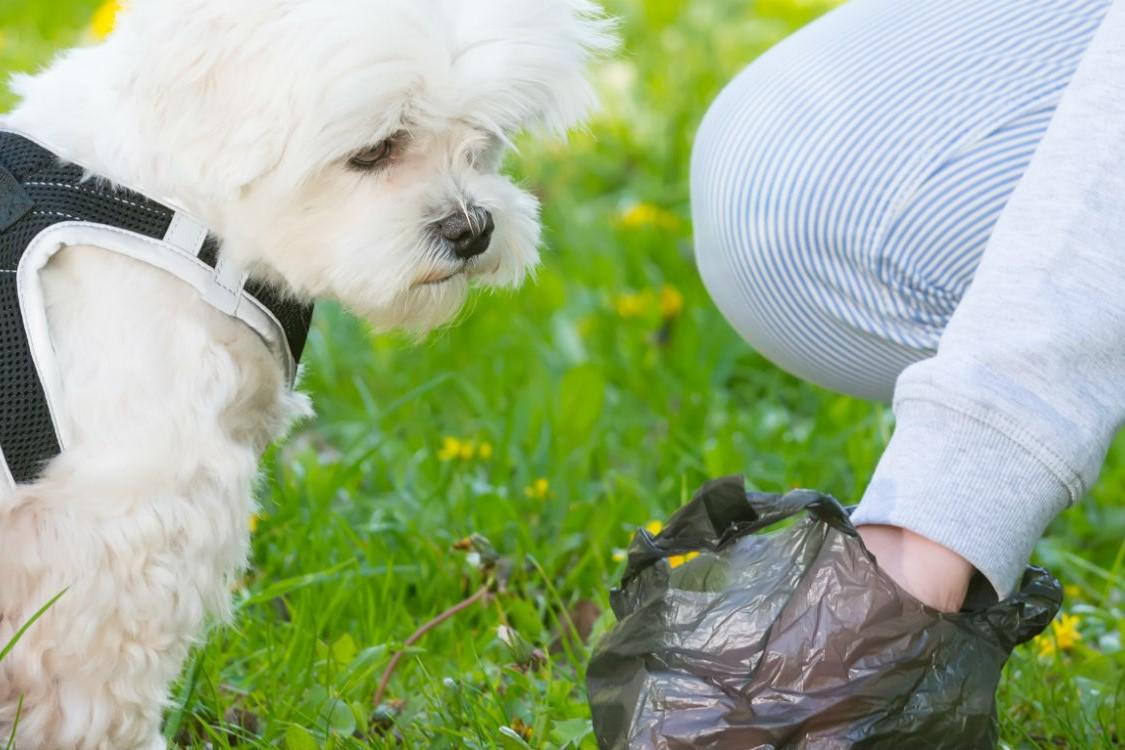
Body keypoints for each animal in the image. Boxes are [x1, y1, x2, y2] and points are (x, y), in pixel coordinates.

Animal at [0, 2, 607, 746]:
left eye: (484, 139)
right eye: (374, 149)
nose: (471, 228)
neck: (164, 205)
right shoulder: (117, 522)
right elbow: (92, 686)